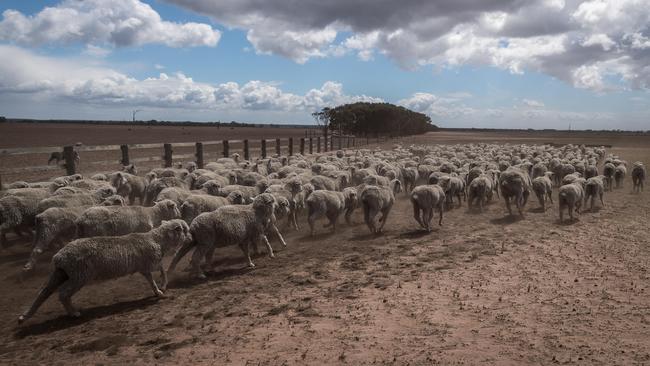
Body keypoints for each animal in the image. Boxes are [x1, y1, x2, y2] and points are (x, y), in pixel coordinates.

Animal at [17, 219, 190, 322]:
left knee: (43, 292)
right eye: (185, 230)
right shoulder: (149, 264)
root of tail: (58, 257)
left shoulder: (145, 268)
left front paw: (159, 289)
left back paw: (24, 316)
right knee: (63, 293)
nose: (189, 236)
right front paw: (162, 288)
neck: (157, 240)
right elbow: (161, 271)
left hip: (62, 273)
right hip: (79, 275)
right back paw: (73, 313)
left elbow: (156, 276)